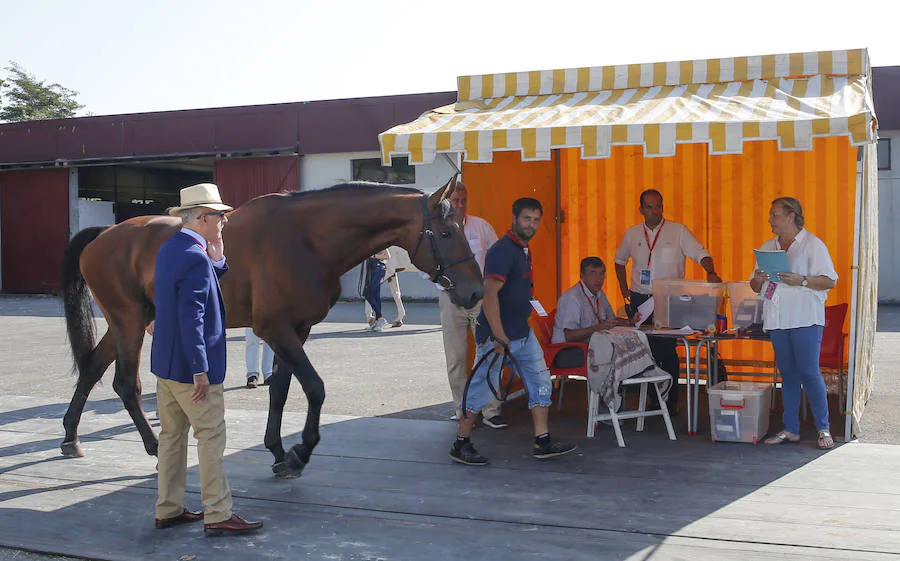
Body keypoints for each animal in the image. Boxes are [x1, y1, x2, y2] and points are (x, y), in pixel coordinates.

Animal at [59, 177, 482, 474]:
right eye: (446, 232)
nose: (476, 291)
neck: (307, 239)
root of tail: (104, 234)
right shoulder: (275, 329)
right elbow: (314, 387)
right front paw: (300, 452)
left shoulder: (297, 329)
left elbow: (280, 388)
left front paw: (278, 451)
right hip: (128, 320)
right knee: (125, 383)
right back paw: (151, 446)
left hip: (129, 321)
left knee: (93, 368)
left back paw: (70, 437)